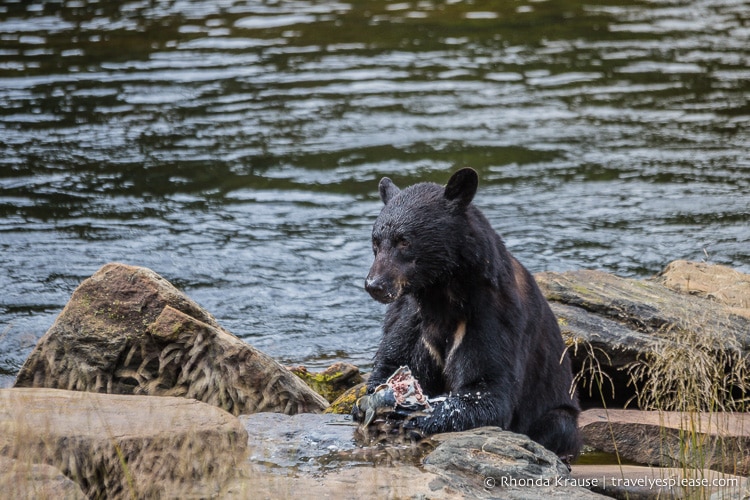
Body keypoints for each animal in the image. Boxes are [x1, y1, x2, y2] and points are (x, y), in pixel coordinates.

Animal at [362, 168, 584, 460]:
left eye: (404, 240)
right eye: (376, 241)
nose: (375, 285)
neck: (440, 296)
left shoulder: (492, 316)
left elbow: (487, 388)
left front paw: (415, 416)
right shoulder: (411, 317)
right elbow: (394, 359)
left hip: (559, 412)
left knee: (557, 425)